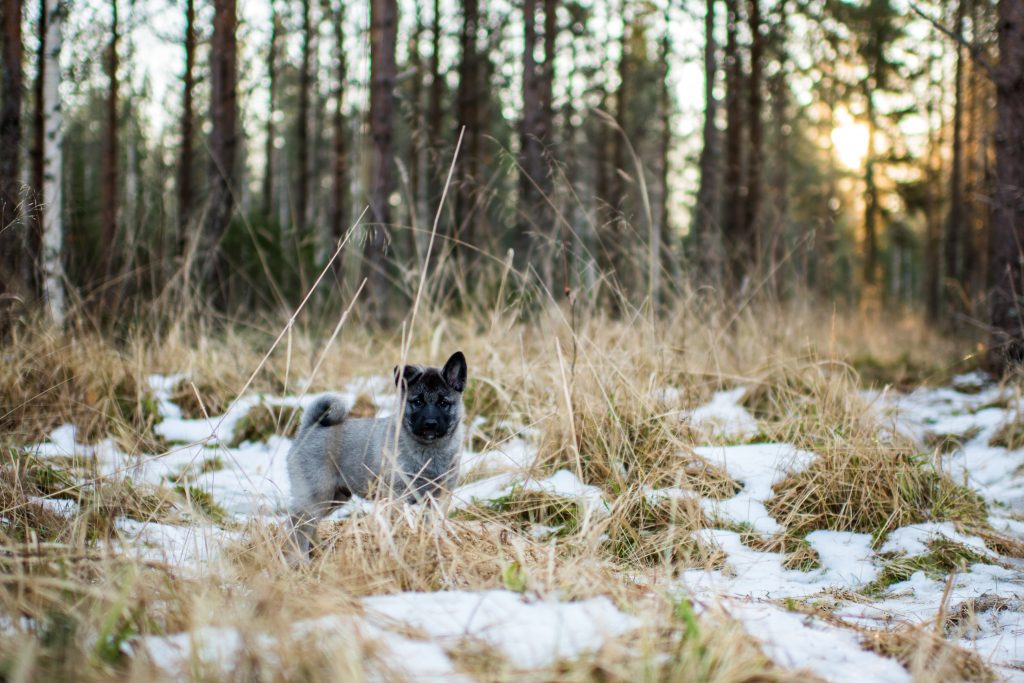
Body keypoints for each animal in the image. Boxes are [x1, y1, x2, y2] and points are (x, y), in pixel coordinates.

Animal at [284, 352, 468, 557]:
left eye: (444, 403)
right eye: (417, 402)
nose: (430, 424)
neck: (429, 451)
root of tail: (309, 428)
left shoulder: (439, 498)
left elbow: (432, 527)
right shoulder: (397, 497)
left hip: (333, 497)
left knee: (310, 526)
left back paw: (320, 552)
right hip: (316, 495)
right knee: (297, 526)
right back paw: (299, 559)